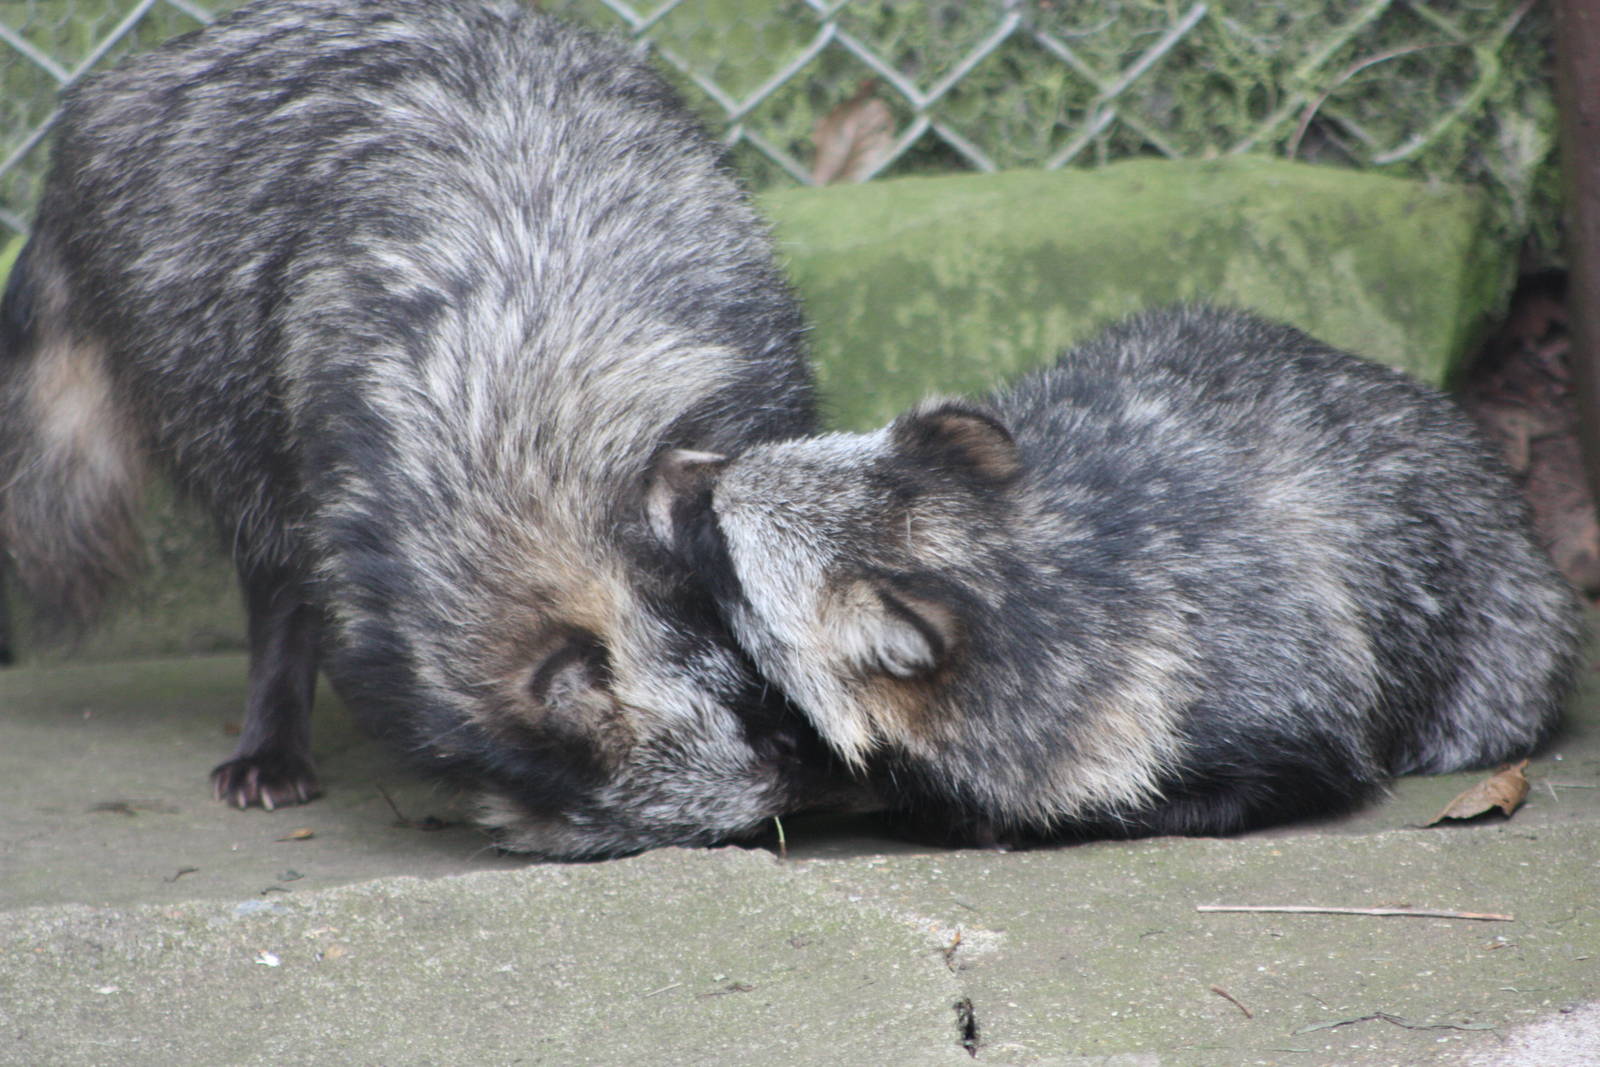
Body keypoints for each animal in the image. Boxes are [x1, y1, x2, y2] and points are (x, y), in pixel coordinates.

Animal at [0, 0, 854, 858]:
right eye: (774, 749)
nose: (855, 779)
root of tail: (114, 92)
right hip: (212, 386)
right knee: (272, 568)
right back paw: (270, 732)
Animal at [649, 306, 1583, 840]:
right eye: (736, 466)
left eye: (719, 536)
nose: (664, 468)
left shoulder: (1269, 692)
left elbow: (1261, 779)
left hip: (1502, 643)